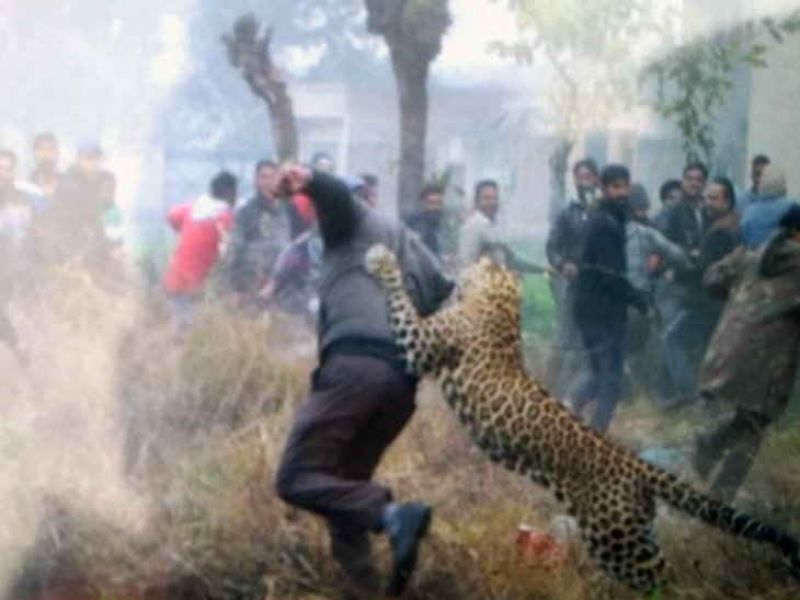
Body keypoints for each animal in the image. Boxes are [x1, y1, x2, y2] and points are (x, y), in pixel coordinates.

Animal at [365, 244, 800, 595]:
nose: (457, 268)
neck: (503, 306)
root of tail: (637, 465)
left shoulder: (421, 343)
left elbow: (402, 305)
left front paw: (381, 259)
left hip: (614, 539)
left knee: (664, 579)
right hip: (631, 532)